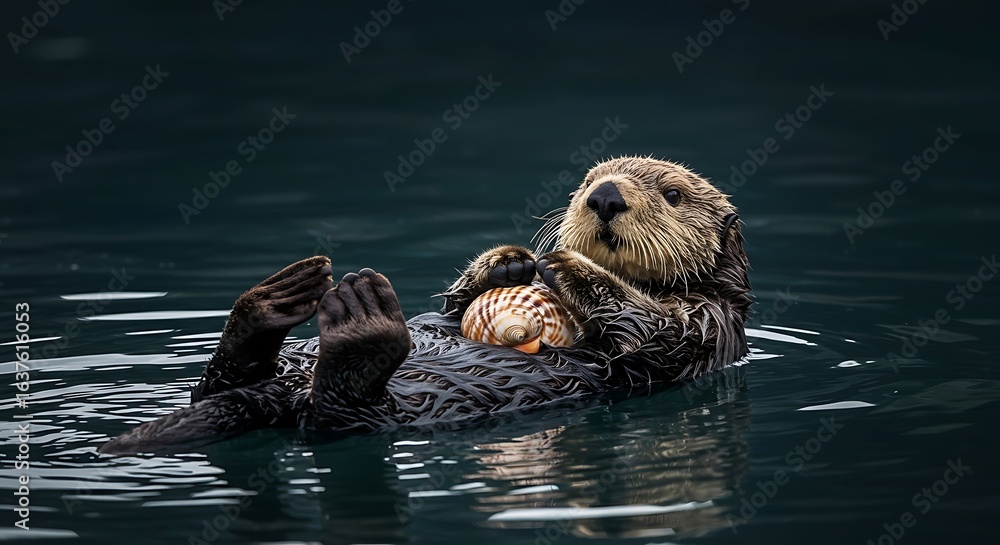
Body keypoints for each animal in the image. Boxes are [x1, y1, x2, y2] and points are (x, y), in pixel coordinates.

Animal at [100, 156, 752, 454]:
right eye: (589, 178)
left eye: (673, 194)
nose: (606, 195)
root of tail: (282, 392)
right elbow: (452, 305)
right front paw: (509, 262)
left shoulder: (706, 324)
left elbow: (651, 327)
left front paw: (569, 265)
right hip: (275, 368)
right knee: (220, 377)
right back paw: (277, 298)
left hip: (378, 412)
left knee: (336, 411)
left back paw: (360, 321)